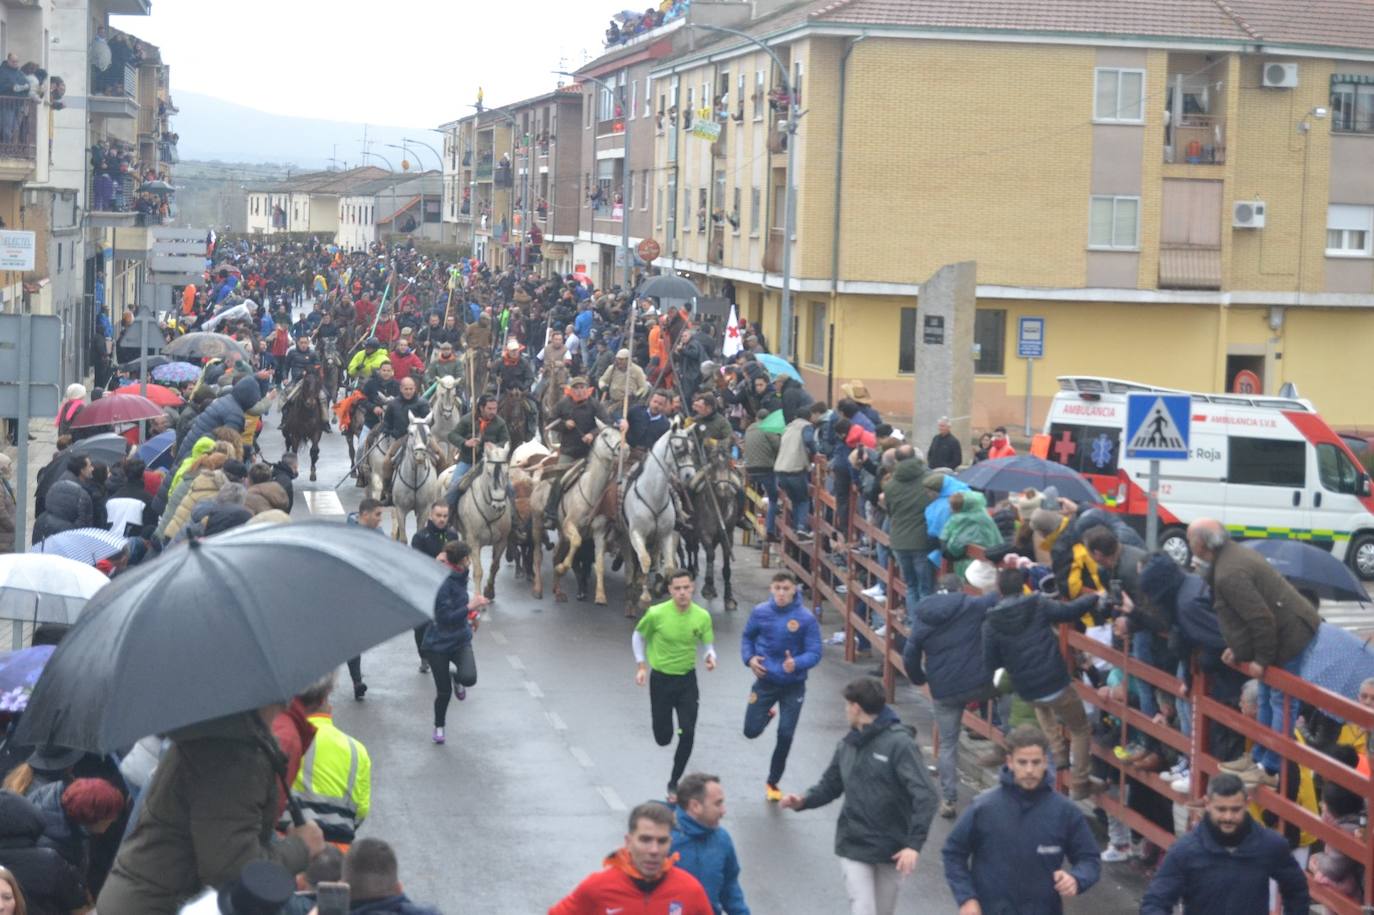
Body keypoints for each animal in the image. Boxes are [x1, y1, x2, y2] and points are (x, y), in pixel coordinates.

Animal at [445, 436, 516, 599]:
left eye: (507, 473)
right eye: (489, 473)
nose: (499, 505)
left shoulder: (502, 541)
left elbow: (494, 566)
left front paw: (489, 591)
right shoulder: (474, 541)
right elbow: (478, 571)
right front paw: (477, 597)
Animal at [621, 420, 697, 612]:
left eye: (692, 447)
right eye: (677, 447)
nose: (689, 476)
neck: (653, 495)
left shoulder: (666, 534)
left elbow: (669, 566)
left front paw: (665, 587)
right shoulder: (636, 533)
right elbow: (645, 560)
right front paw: (644, 597)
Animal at [681, 445, 747, 610]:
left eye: (729, 463)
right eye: (712, 463)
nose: (723, 489)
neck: (720, 506)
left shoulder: (727, 536)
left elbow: (726, 566)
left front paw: (729, 597)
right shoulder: (705, 534)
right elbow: (710, 555)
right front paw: (709, 588)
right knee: (689, 549)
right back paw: (690, 569)